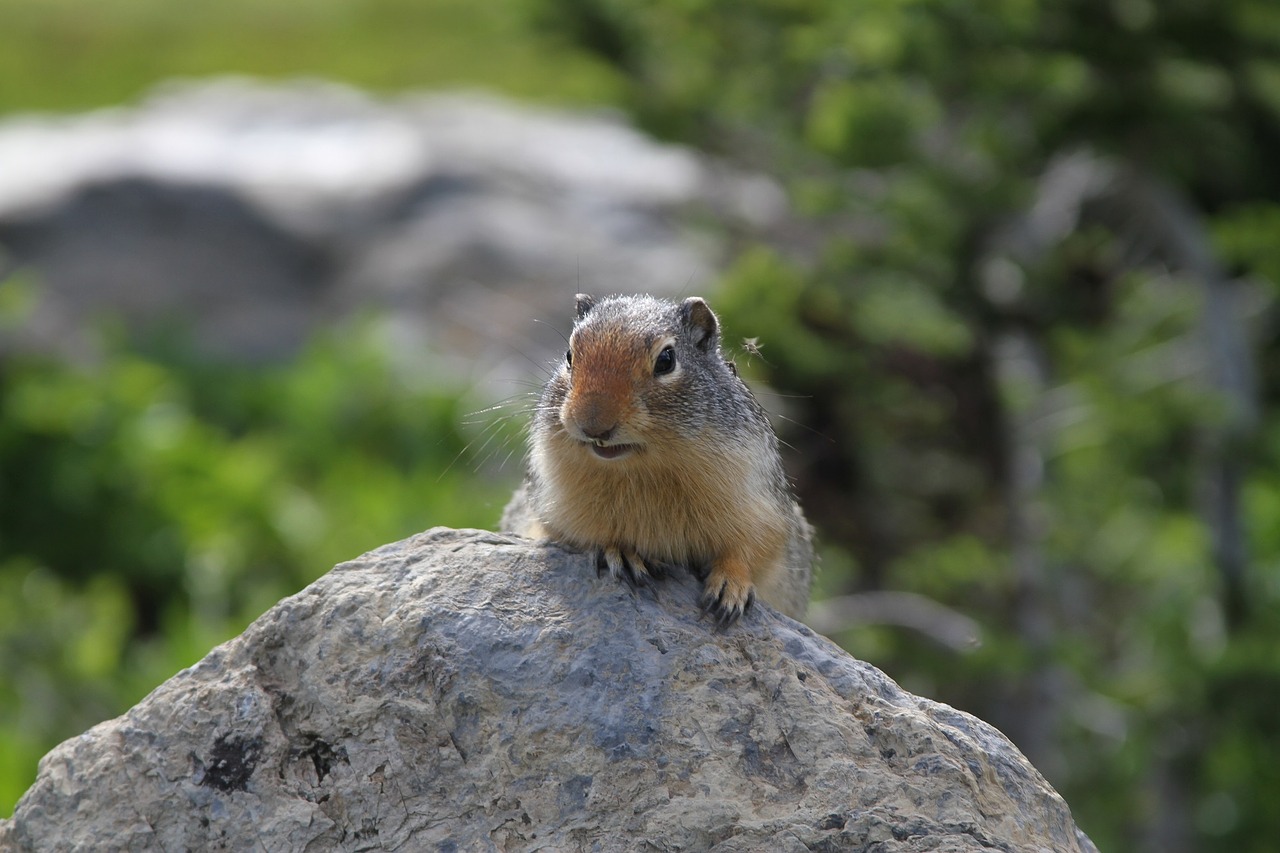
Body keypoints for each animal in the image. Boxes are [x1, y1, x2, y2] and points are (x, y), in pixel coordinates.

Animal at [504, 292, 814, 625]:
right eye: (569, 355)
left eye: (666, 360)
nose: (593, 425)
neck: (643, 469)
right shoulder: (551, 506)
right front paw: (622, 552)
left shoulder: (762, 504)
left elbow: (751, 547)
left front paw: (730, 587)